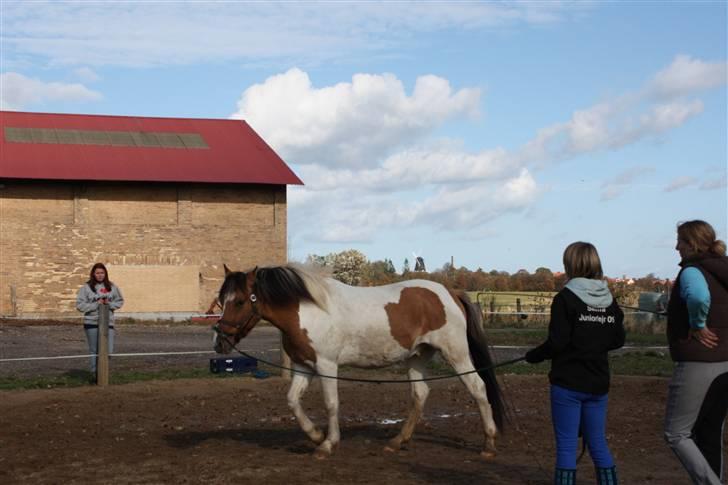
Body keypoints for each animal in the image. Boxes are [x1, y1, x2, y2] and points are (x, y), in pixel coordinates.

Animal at [213, 264, 504, 458]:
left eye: (240, 301)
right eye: (221, 300)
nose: (220, 341)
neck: (308, 310)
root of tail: (450, 293)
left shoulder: (327, 366)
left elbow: (331, 404)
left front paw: (328, 444)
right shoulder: (303, 366)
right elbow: (293, 401)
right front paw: (315, 435)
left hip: (456, 354)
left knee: (478, 388)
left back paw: (489, 444)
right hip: (418, 357)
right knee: (420, 394)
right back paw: (397, 441)